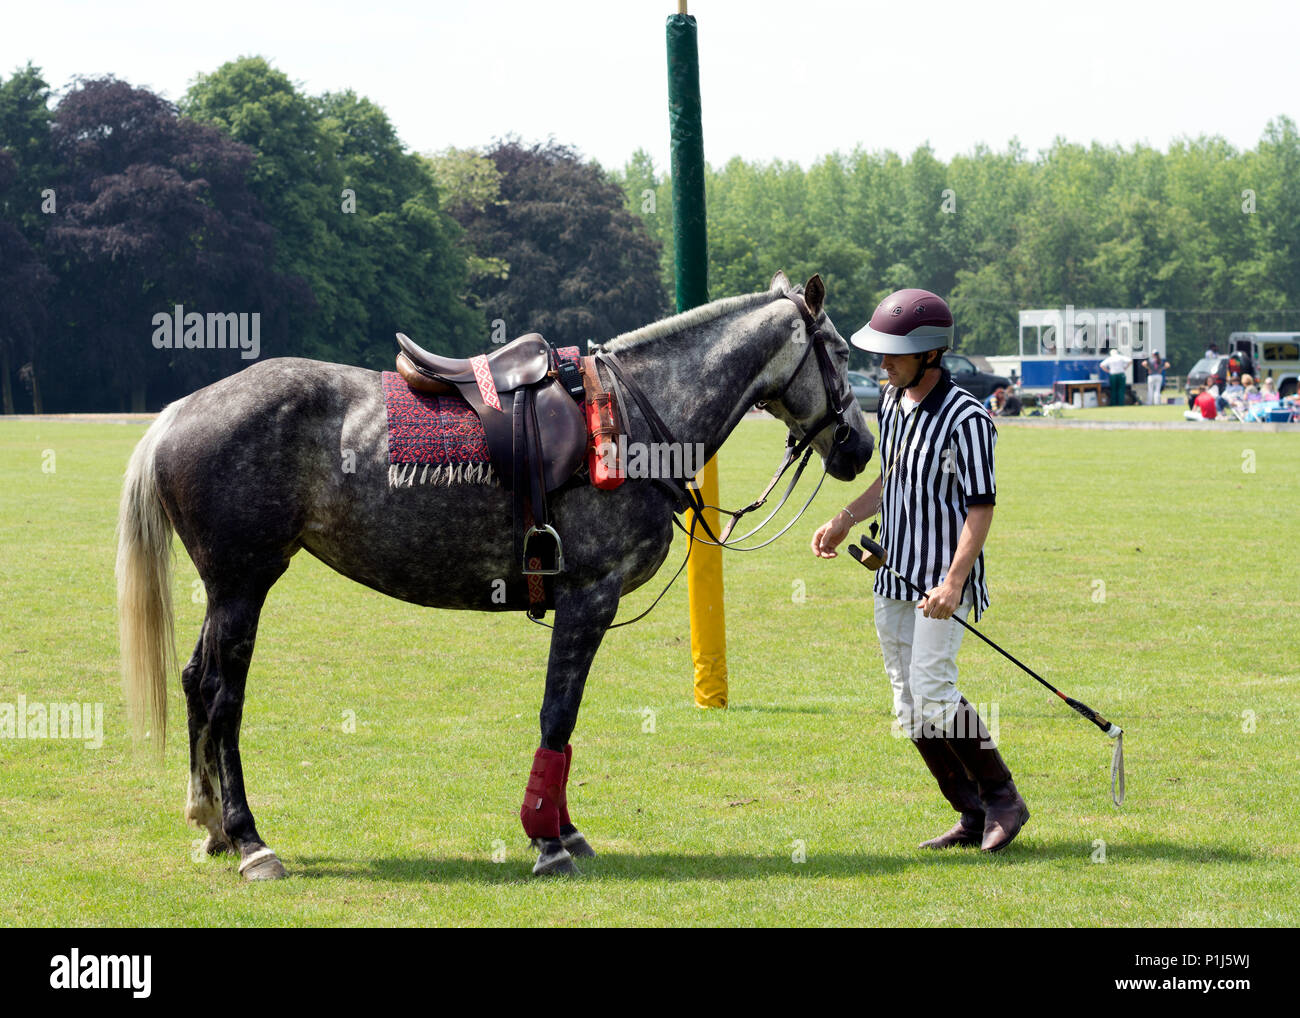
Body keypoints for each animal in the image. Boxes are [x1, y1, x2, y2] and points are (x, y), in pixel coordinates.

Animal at [116, 271, 873, 879]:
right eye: (839, 353)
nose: (861, 446)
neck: (633, 414)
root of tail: (179, 412)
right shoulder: (588, 597)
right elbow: (557, 714)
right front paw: (547, 840)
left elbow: (565, 721)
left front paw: (562, 829)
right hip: (244, 583)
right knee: (222, 698)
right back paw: (249, 840)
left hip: (226, 589)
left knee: (195, 680)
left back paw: (211, 823)